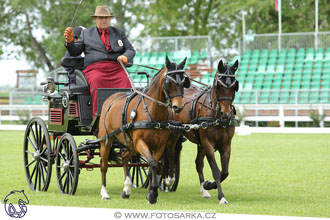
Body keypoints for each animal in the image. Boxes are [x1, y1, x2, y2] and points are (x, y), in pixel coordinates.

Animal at [98, 55, 189, 204]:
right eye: (168, 83)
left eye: (184, 82)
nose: (178, 107)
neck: (152, 112)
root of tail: (111, 98)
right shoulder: (140, 142)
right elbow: (152, 163)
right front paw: (153, 193)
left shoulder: (160, 145)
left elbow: (154, 165)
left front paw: (151, 192)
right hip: (107, 140)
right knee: (104, 165)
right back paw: (104, 192)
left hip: (130, 143)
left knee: (124, 156)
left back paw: (126, 189)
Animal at [166, 59, 238, 204]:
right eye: (219, 86)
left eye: (234, 86)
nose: (226, 114)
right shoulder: (208, 143)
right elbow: (216, 171)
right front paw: (221, 197)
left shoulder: (226, 145)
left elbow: (225, 172)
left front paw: (208, 185)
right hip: (173, 134)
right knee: (170, 154)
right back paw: (169, 179)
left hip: (199, 143)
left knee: (198, 163)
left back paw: (204, 190)